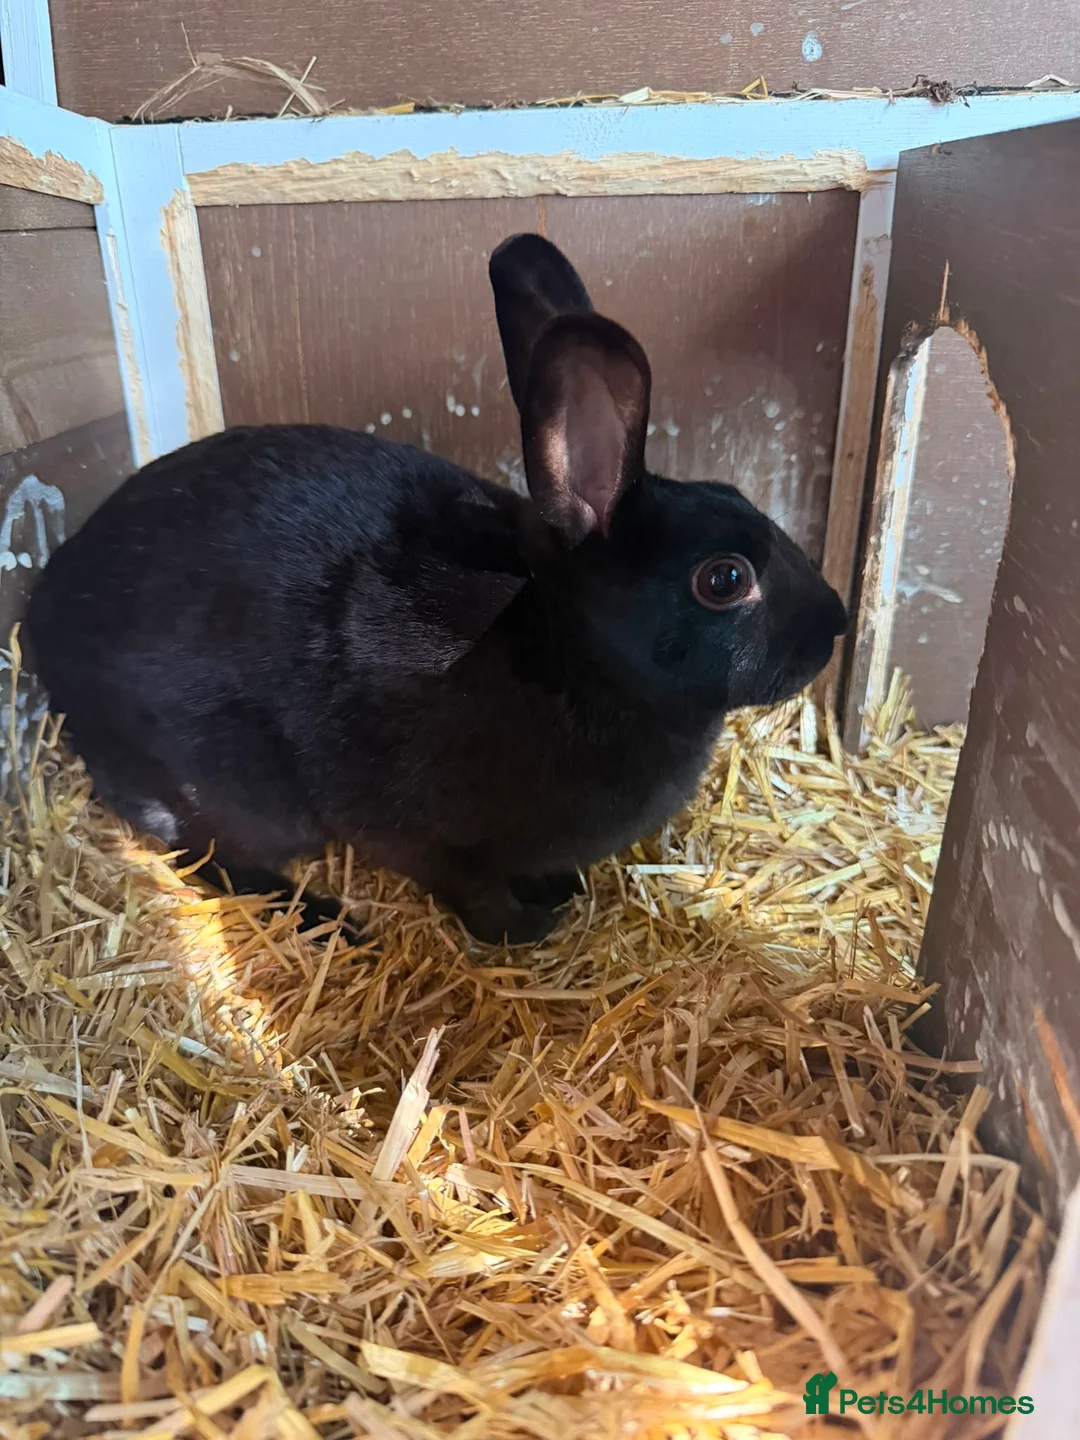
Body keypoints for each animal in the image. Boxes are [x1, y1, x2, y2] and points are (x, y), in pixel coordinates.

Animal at [24, 232, 847, 946]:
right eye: (725, 579)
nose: (836, 623)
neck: (568, 658)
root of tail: (45, 625)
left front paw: (560, 890)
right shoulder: (423, 837)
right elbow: (472, 892)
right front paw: (528, 929)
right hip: (223, 789)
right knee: (208, 858)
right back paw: (328, 920)